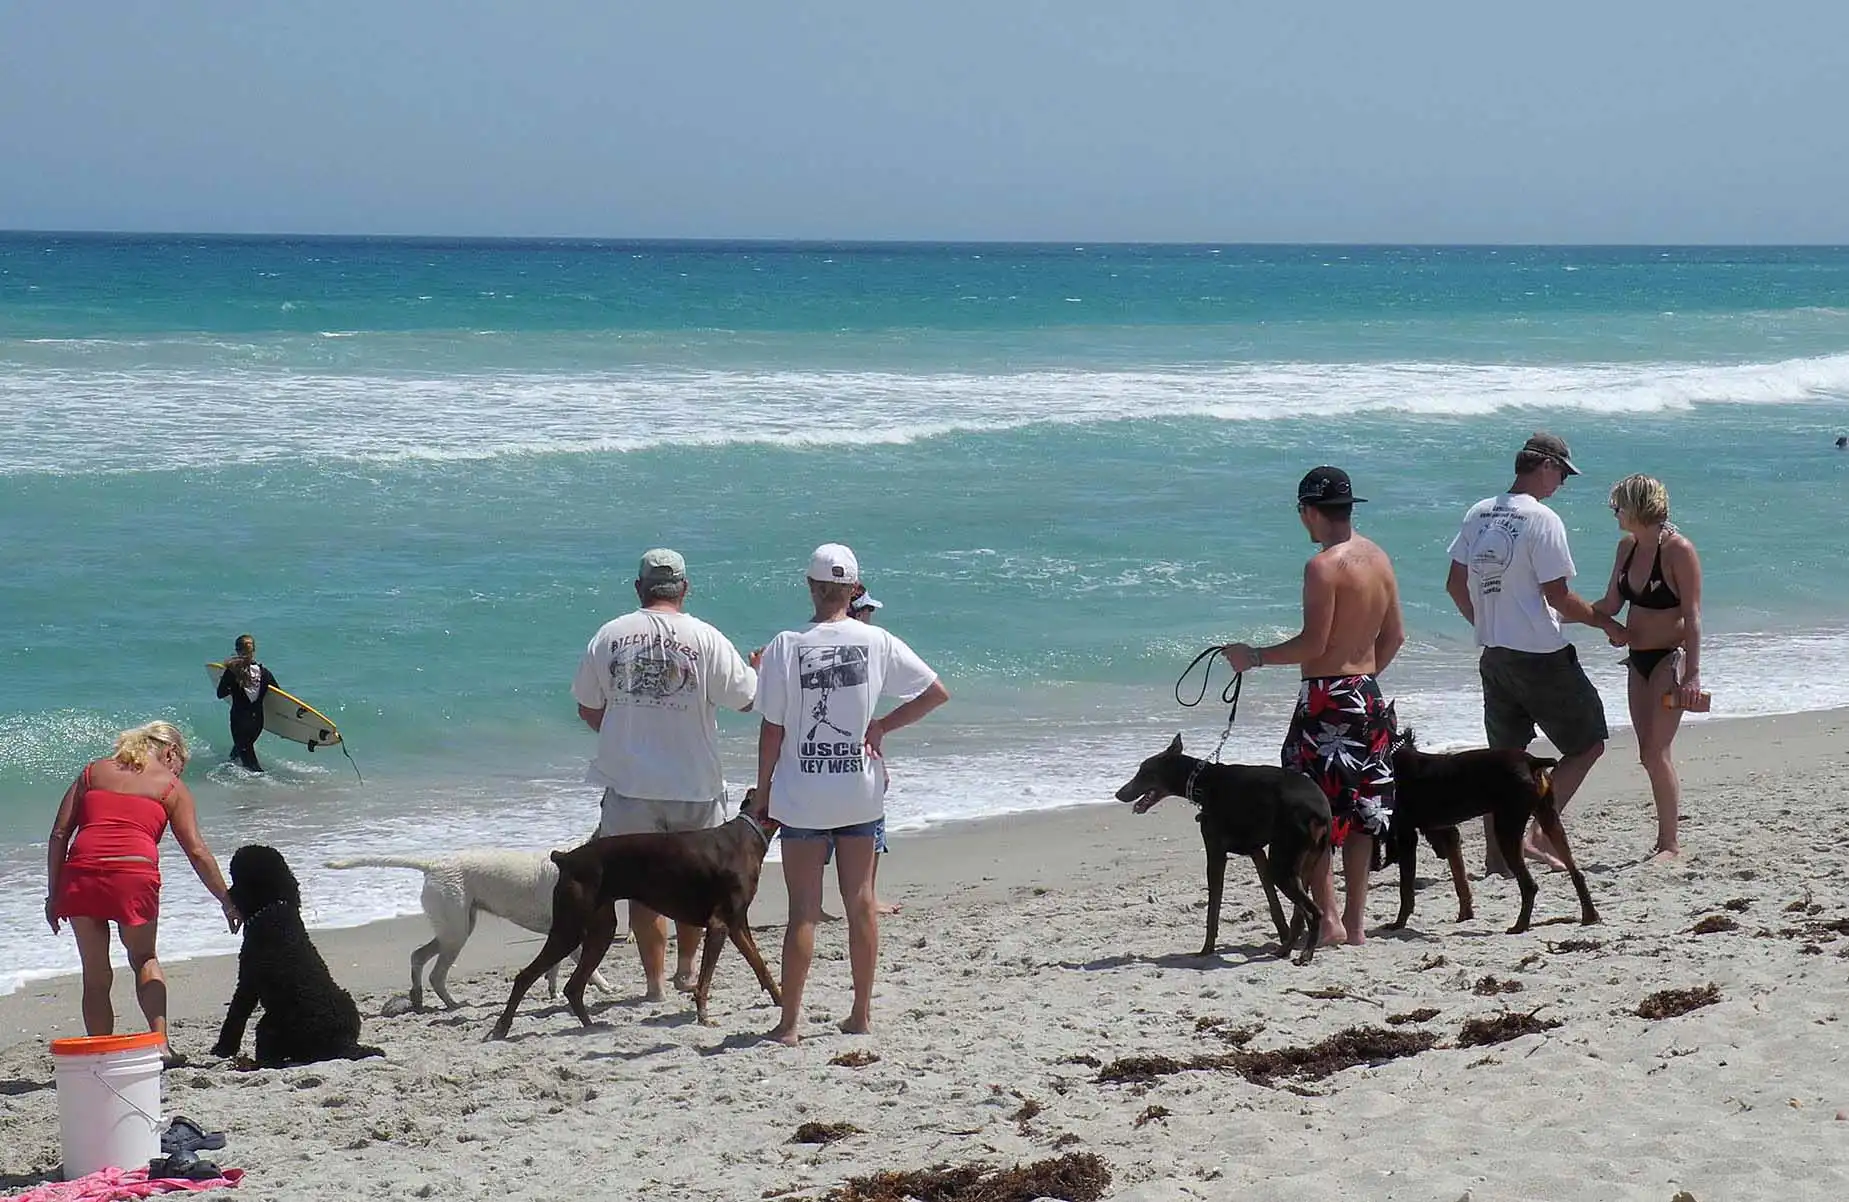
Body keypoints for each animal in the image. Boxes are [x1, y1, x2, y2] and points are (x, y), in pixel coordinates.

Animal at [210, 839, 382, 1065]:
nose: (227, 894)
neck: (274, 908)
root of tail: (342, 1041)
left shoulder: (247, 982)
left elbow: (235, 1016)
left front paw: (223, 1049)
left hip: (269, 1023)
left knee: (269, 1057)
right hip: (346, 999)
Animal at [327, 846, 621, 1005]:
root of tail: (433, 864)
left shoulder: (561, 934)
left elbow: (555, 968)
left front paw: (553, 993)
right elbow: (587, 967)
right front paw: (606, 987)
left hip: (455, 929)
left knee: (418, 956)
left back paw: (419, 997)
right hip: (456, 933)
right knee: (436, 973)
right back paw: (453, 1004)